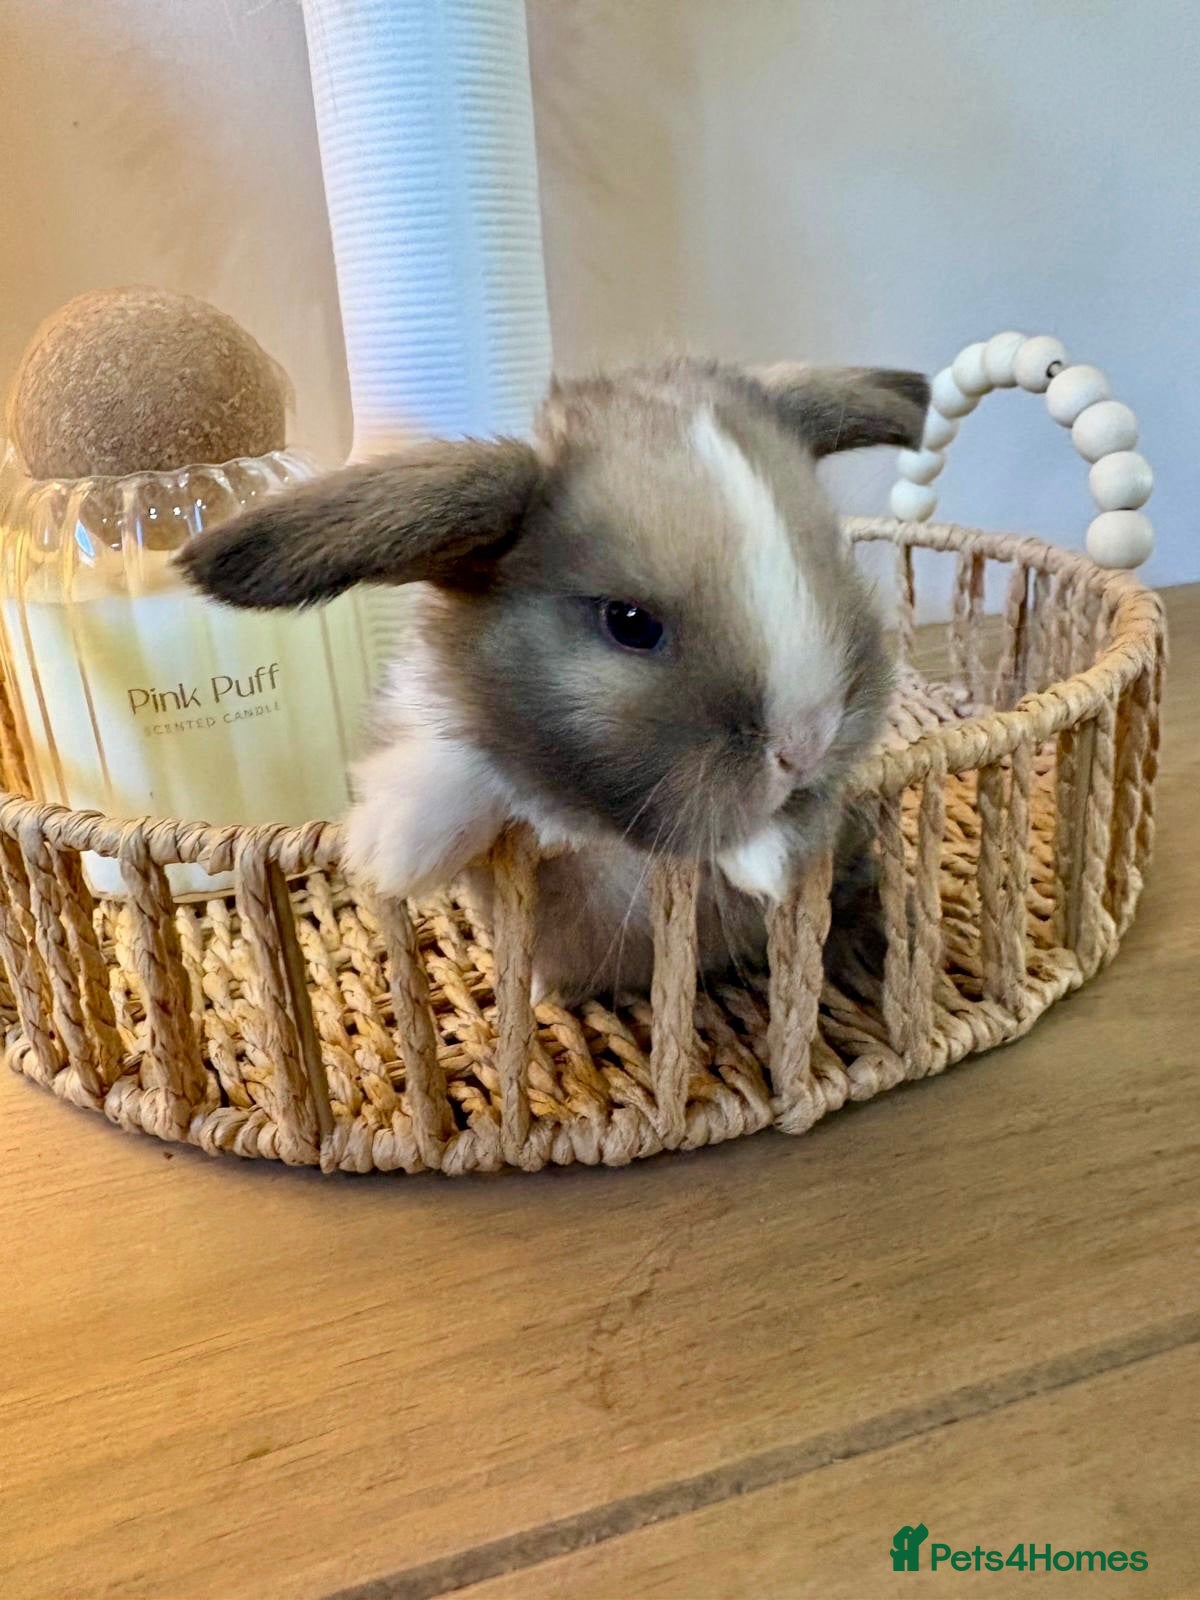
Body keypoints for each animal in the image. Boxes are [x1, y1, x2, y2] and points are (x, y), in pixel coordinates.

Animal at [180, 357, 928, 1003]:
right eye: (629, 622)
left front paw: (769, 859)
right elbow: (461, 755)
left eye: (831, 560)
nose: (806, 745)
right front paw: (395, 846)